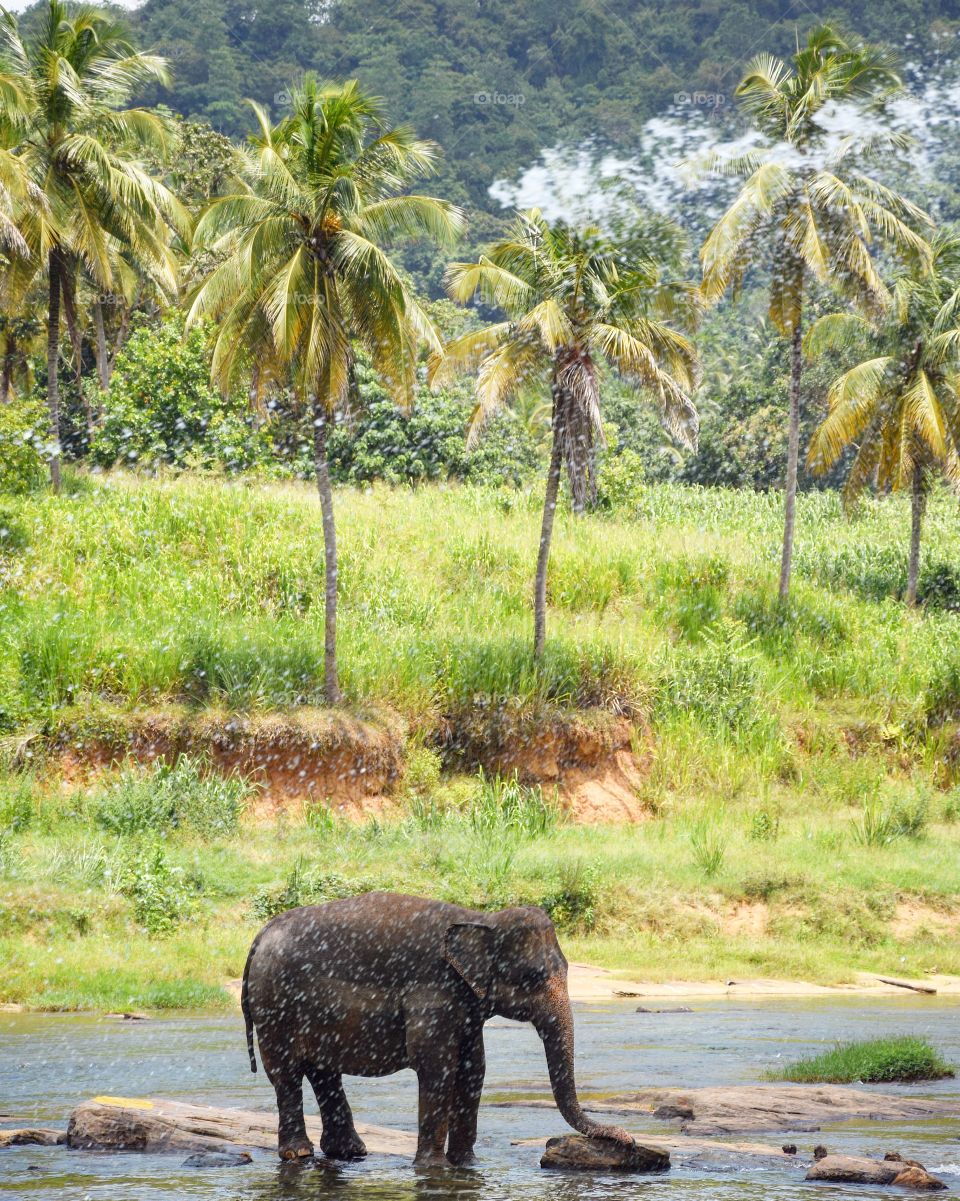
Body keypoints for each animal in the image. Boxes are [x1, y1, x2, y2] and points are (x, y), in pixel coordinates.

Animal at [240, 893, 634, 1162]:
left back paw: (350, 1153)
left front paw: (468, 1164)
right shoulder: (433, 992)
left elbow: (474, 1070)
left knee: (324, 1071)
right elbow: (437, 1067)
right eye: (533, 977)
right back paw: (299, 1155)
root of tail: (258, 936)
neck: (479, 919)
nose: (628, 1140)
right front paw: (432, 1167)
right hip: (274, 1005)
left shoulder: (467, 1006)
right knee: (286, 1073)